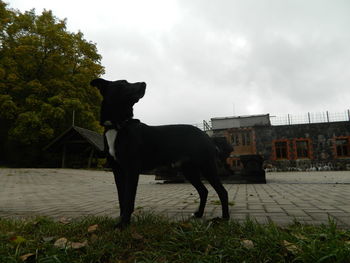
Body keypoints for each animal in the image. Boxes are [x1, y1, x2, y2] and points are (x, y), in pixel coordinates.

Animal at [90, 78, 230, 229]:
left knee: (222, 192)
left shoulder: (131, 170)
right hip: (189, 170)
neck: (118, 126)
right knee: (203, 191)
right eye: (122, 84)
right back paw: (199, 214)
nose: (144, 83)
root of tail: (207, 136)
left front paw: (123, 223)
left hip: (207, 167)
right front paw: (122, 220)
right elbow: (122, 199)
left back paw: (225, 218)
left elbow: (128, 200)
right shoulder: (118, 171)